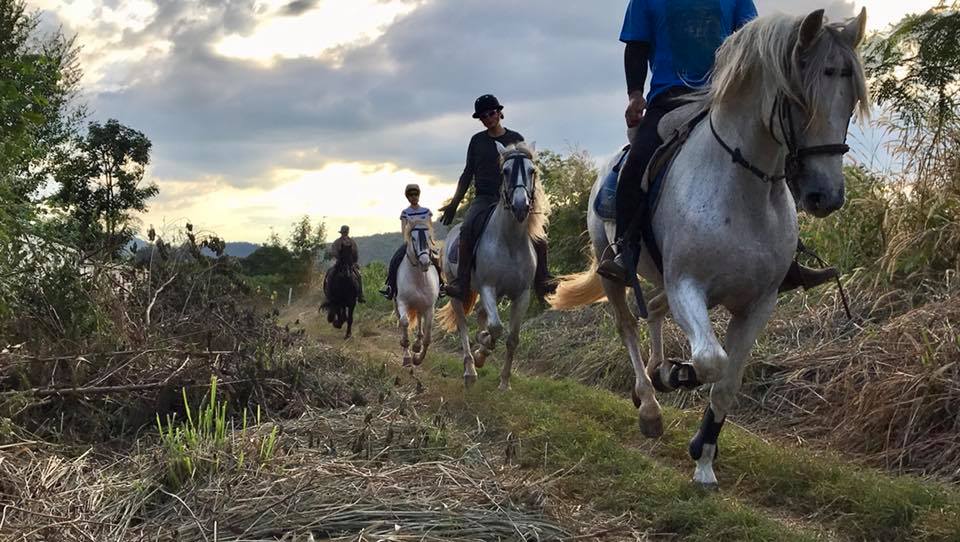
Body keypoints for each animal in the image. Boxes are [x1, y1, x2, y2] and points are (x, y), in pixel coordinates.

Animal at [395, 217, 441, 367]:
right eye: (413, 238)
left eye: (429, 237)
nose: (425, 262)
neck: (418, 277)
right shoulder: (402, 303)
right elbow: (404, 323)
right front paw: (407, 356)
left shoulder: (429, 307)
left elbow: (428, 336)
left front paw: (418, 358)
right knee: (402, 320)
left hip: (421, 305)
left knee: (420, 319)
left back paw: (417, 345)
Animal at [438, 142, 551, 390]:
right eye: (505, 171)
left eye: (532, 171)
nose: (520, 206)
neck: (510, 241)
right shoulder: (488, 287)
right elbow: (496, 328)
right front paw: (482, 350)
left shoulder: (521, 294)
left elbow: (512, 338)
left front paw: (504, 382)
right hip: (458, 290)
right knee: (463, 325)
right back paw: (470, 369)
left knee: (481, 315)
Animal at [549, 9, 869, 487]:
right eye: (798, 99)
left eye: (850, 101)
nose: (825, 196)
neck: (742, 189)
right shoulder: (688, 287)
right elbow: (709, 361)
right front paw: (676, 376)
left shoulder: (758, 304)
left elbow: (727, 383)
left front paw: (703, 458)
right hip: (616, 274)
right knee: (628, 325)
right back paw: (649, 404)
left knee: (654, 310)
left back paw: (658, 375)